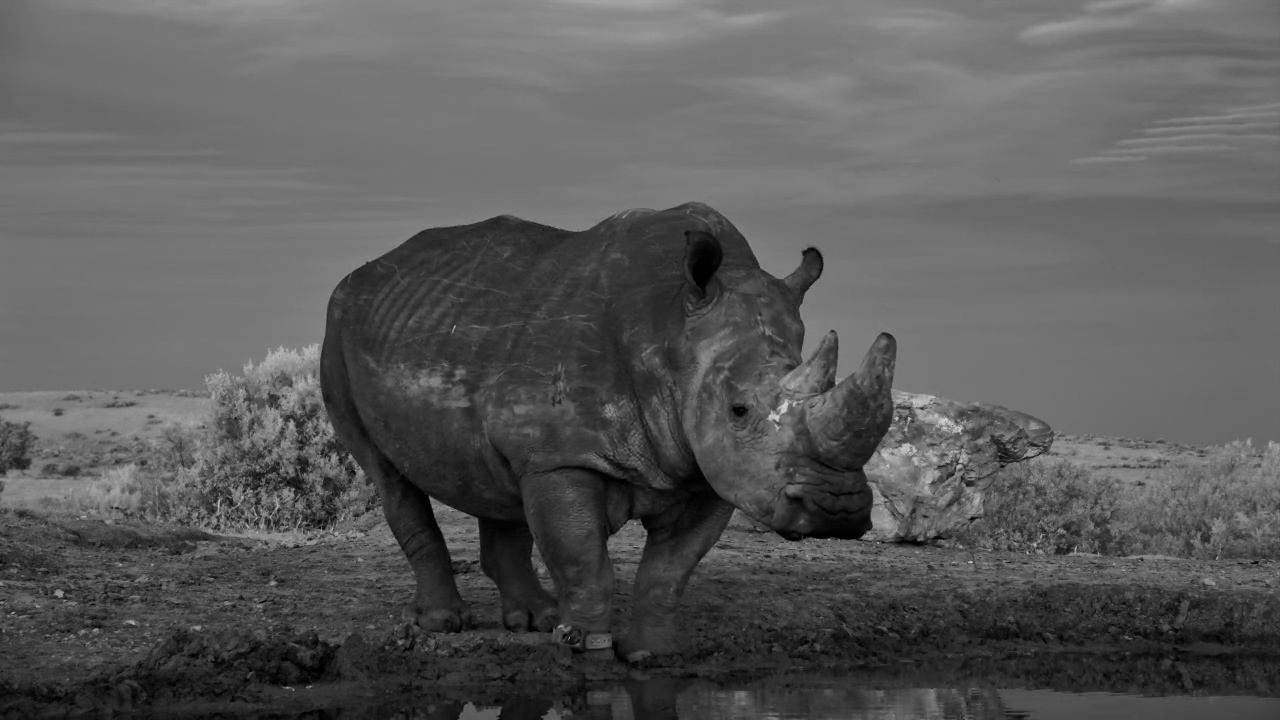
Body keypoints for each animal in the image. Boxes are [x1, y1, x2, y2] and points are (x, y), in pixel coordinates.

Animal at [319, 201, 897, 661]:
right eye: (738, 410)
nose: (837, 509)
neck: (669, 328)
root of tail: (361, 277)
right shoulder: (562, 456)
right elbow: (585, 564)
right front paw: (583, 647)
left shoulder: (710, 470)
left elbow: (669, 572)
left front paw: (649, 656)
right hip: (338, 331)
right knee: (389, 477)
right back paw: (446, 623)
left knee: (497, 479)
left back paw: (534, 620)